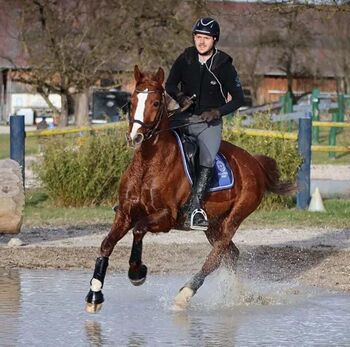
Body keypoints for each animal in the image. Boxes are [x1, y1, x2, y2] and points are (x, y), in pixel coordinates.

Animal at [85, 66, 296, 312]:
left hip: (233, 219)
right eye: (132, 101)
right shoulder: (125, 214)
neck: (148, 164)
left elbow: (138, 230)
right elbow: (106, 244)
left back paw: (186, 293)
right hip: (212, 225)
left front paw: (137, 272)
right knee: (230, 254)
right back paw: (235, 295)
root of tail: (254, 163)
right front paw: (94, 294)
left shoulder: (165, 217)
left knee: (217, 255)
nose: (134, 137)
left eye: (156, 103)